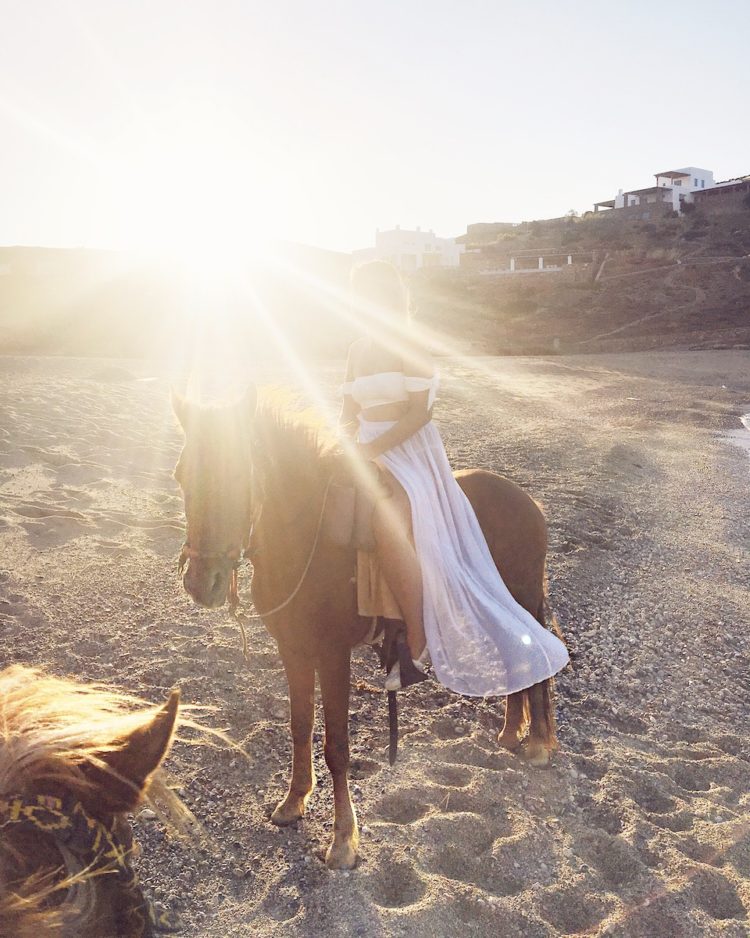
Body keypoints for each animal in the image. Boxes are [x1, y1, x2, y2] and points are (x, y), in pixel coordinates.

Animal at [175, 388, 564, 872]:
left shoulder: (332, 655)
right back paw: (512, 732)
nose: (200, 583)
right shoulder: (293, 650)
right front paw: (293, 802)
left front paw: (343, 841)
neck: (307, 535)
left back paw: (536, 744)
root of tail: (527, 502)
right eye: (181, 476)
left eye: (237, 474)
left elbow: (337, 747)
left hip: (521, 597)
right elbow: (299, 727)